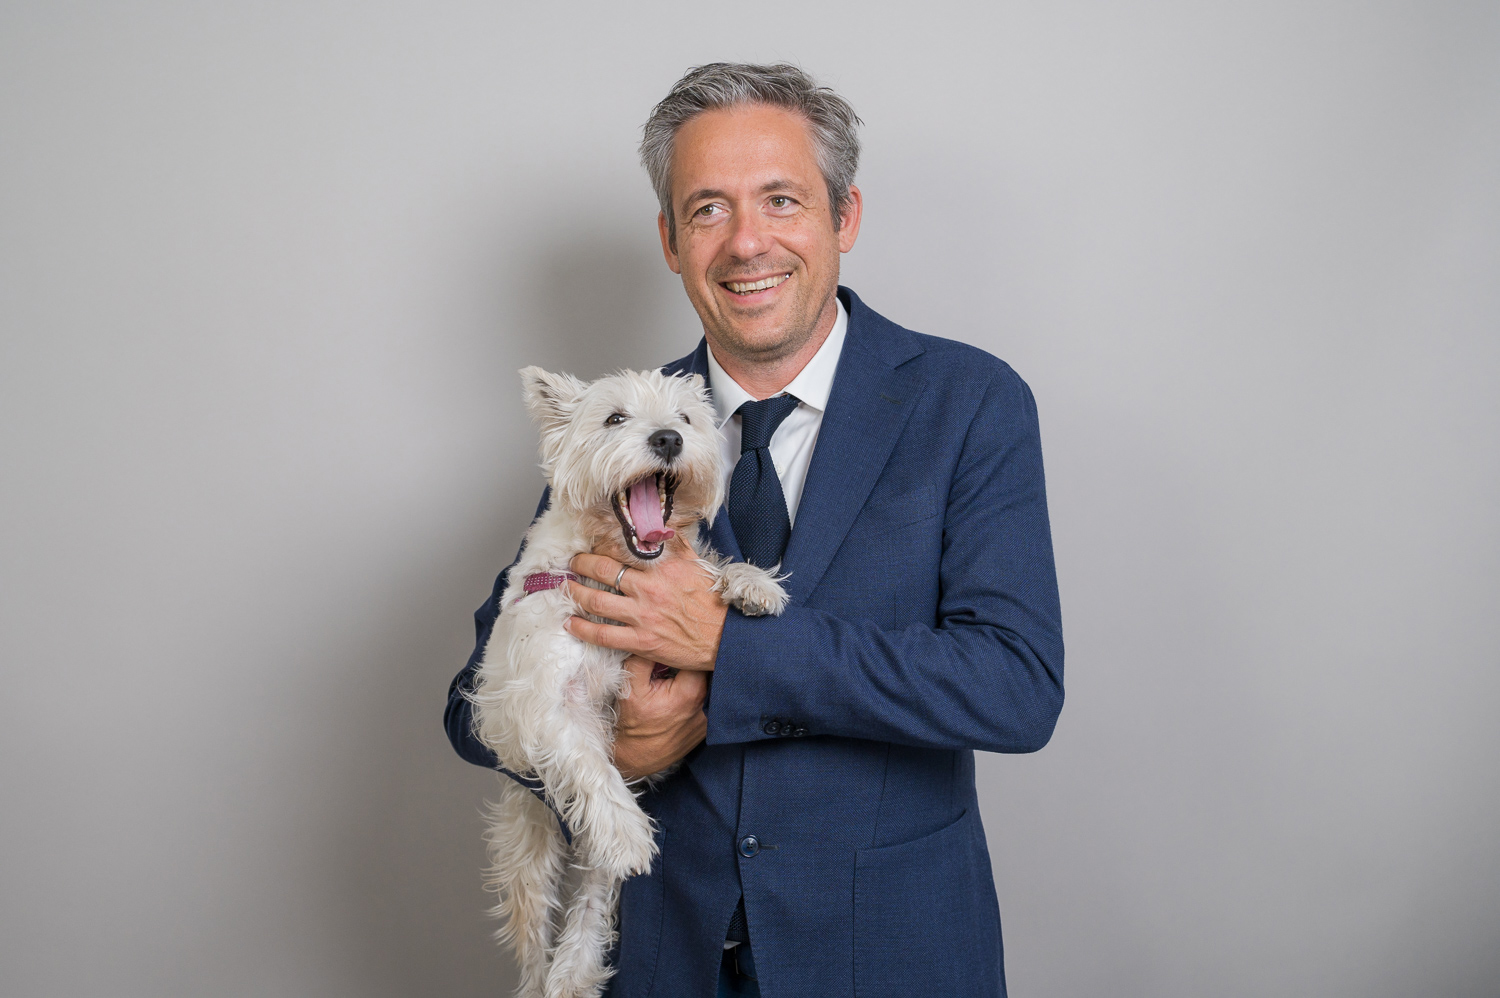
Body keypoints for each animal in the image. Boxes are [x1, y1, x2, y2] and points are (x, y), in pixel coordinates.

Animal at [468, 366, 788, 998]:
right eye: (615, 418)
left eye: (685, 418)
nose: (668, 438)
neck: (620, 564)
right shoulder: (546, 705)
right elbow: (591, 765)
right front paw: (629, 832)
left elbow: (709, 568)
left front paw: (751, 584)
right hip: (527, 844)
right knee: (534, 937)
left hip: (585, 877)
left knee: (589, 911)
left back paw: (574, 974)